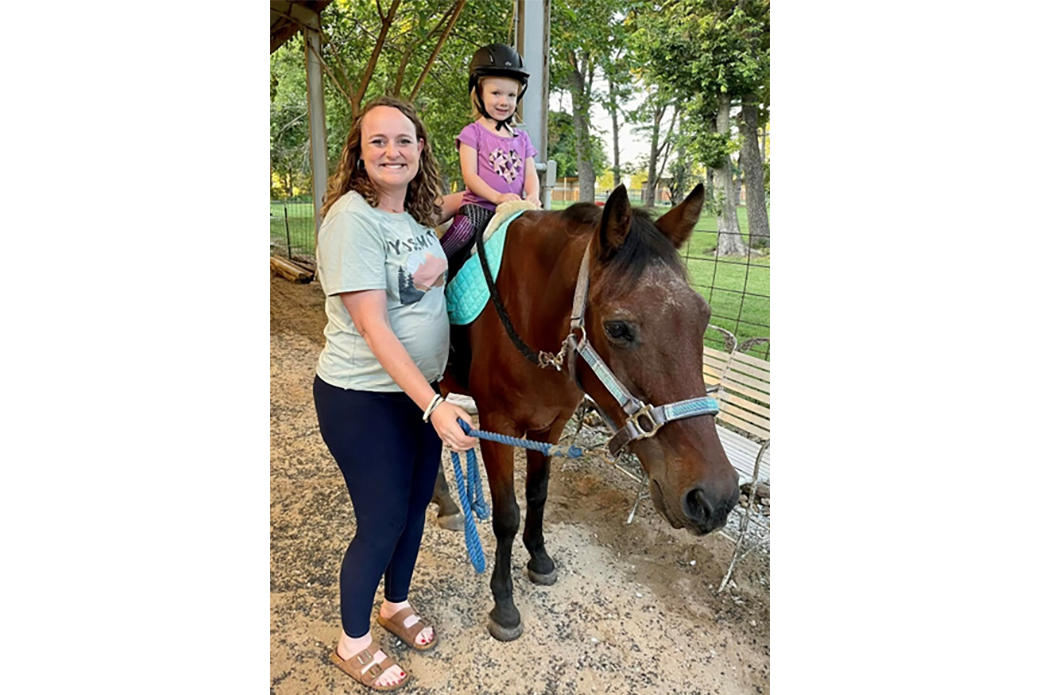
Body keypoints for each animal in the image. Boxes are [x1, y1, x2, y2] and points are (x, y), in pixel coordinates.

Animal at [438, 183, 740, 640]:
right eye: (618, 328)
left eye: (702, 319)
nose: (715, 497)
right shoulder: (495, 426)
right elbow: (507, 514)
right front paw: (504, 603)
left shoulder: (550, 426)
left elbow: (538, 494)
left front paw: (539, 558)